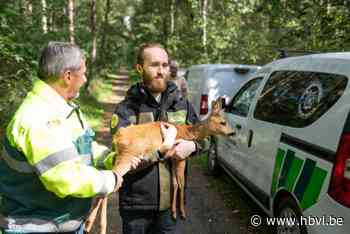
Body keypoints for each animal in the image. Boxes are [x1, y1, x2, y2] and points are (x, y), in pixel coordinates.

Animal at [83, 97, 234, 234]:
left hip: (122, 158)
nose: (233, 132)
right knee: (111, 182)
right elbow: (181, 183)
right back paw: (96, 225)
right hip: (128, 156)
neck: (188, 132)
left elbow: (174, 182)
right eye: (223, 122)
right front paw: (182, 213)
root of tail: (117, 137)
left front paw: (173, 213)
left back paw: (90, 224)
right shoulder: (181, 157)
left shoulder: (173, 157)